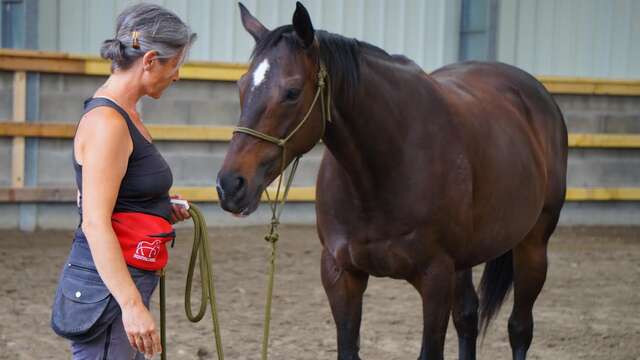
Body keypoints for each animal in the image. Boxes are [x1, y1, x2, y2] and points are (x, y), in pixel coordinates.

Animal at [218, 3, 568, 360]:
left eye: (291, 92)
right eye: (242, 86)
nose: (230, 185)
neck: (384, 170)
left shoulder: (435, 278)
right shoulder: (341, 275)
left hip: (533, 244)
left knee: (519, 328)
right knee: (468, 317)